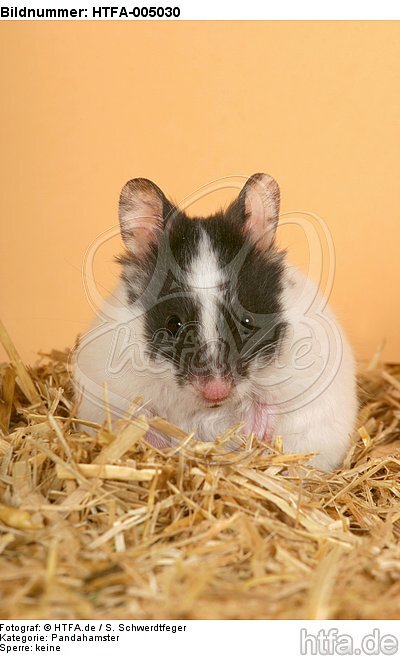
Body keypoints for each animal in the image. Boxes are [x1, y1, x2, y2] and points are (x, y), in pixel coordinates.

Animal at [72, 173, 357, 471]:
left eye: (247, 320)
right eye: (173, 324)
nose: (216, 392)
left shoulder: (302, 381)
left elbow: (269, 407)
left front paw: (253, 442)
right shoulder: (117, 388)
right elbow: (141, 420)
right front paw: (165, 450)